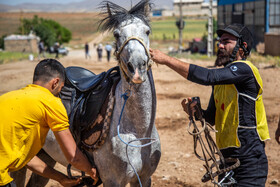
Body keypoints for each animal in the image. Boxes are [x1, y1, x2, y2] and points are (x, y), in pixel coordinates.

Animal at [12, 0, 161, 186]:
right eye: (116, 34)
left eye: (147, 31)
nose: (137, 67)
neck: (138, 133)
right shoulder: (112, 180)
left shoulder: (144, 178)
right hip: (21, 163)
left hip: (46, 156)